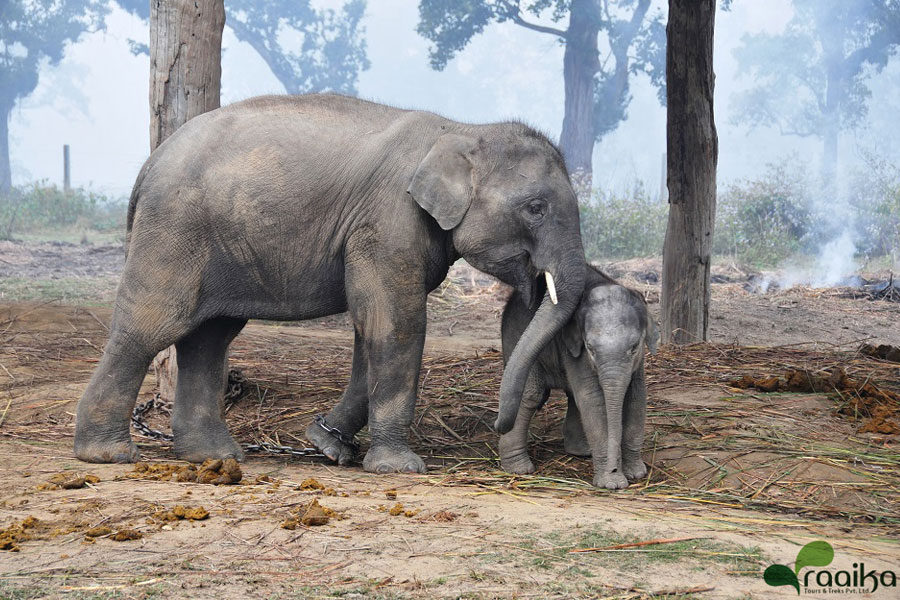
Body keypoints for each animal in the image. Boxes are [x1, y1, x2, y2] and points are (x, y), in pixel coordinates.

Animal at [74, 95, 588, 474]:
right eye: (536, 208)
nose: (499, 425)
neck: (463, 128)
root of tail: (149, 163)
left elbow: (370, 328)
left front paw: (325, 445)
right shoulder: (387, 223)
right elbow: (396, 323)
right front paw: (399, 468)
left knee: (209, 337)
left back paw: (213, 456)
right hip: (173, 231)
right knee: (152, 327)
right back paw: (108, 454)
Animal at [500, 268, 652, 488]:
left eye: (634, 347)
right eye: (590, 349)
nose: (615, 468)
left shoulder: (639, 362)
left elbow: (636, 398)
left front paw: (636, 473)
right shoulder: (574, 347)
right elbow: (593, 399)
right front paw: (612, 483)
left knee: (571, 394)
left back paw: (581, 451)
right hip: (514, 336)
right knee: (530, 393)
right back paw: (518, 469)